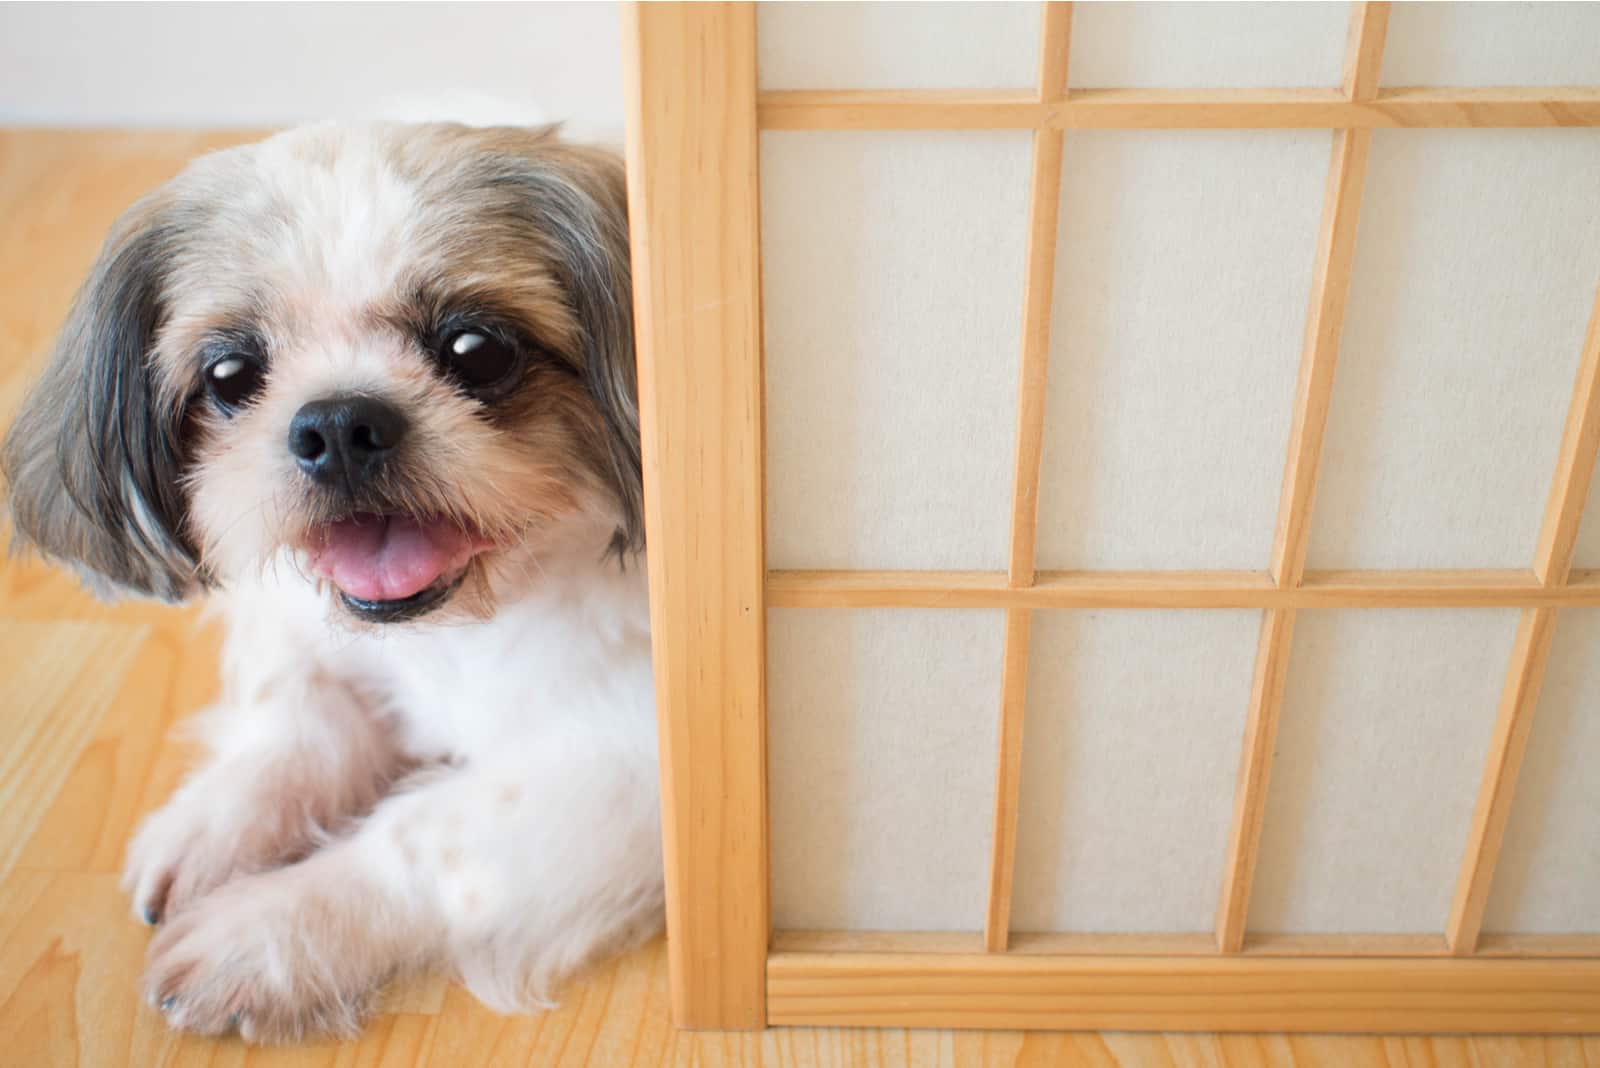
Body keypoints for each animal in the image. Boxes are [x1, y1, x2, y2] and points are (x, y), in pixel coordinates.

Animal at [0, 120, 662, 1036]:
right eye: (230, 376)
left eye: (476, 349)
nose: (341, 423)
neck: (458, 633)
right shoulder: (309, 646)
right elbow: (298, 722)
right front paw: (218, 820)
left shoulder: (627, 764)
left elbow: (422, 838)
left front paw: (267, 930)